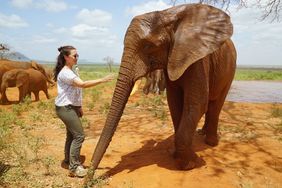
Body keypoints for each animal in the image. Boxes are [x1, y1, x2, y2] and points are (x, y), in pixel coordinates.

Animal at [85, 3, 236, 181]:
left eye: (148, 46)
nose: (88, 177)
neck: (168, 15)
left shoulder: (197, 60)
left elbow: (197, 104)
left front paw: (189, 164)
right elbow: (175, 103)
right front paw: (176, 154)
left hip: (230, 70)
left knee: (215, 104)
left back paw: (211, 142)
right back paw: (201, 133)